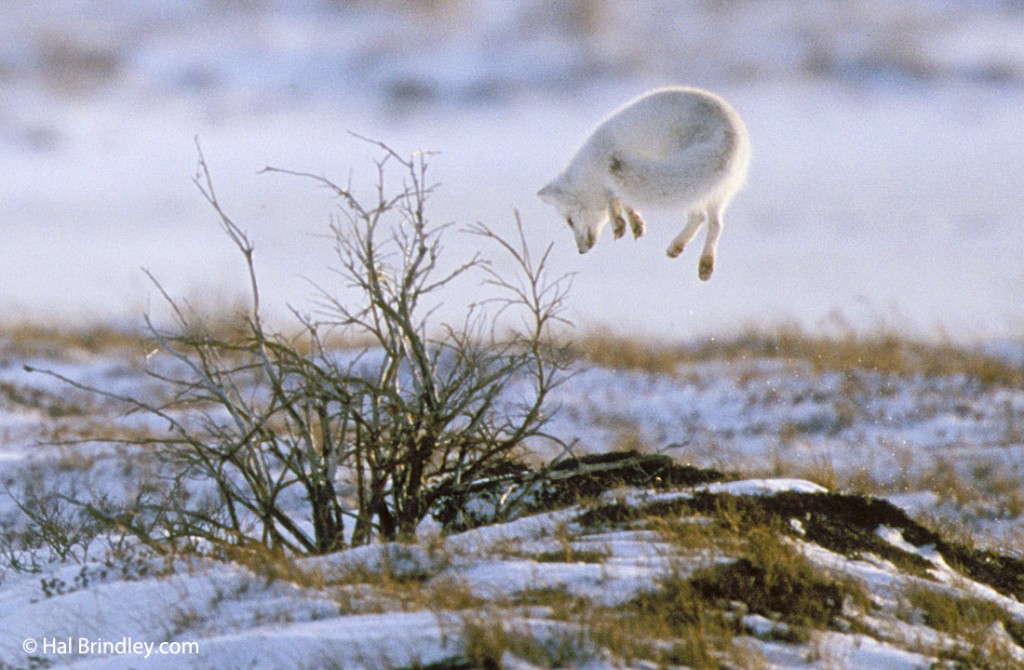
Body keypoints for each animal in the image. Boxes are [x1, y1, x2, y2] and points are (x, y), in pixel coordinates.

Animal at [540, 86, 749, 280]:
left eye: (569, 221)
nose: (581, 251)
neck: (589, 169)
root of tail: (729, 132)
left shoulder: (610, 177)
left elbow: (614, 199)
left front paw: (619, 223)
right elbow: (625, 202)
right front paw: (635, 224)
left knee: (702, 218)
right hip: (714, 190)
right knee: (711, 222)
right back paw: (697, 259)